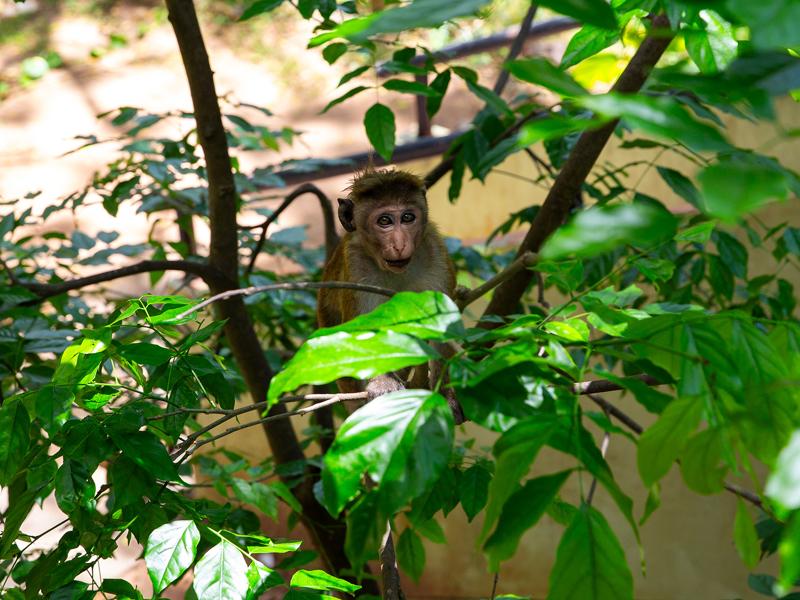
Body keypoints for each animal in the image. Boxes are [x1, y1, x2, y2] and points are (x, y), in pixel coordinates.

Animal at [317, 168, 464, 423]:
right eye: (384, 221)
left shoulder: (435, 252)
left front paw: (444, 393)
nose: (399, 244)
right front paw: (383, 382)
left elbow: (443, 326)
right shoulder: (356, 264)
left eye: (407, 218)